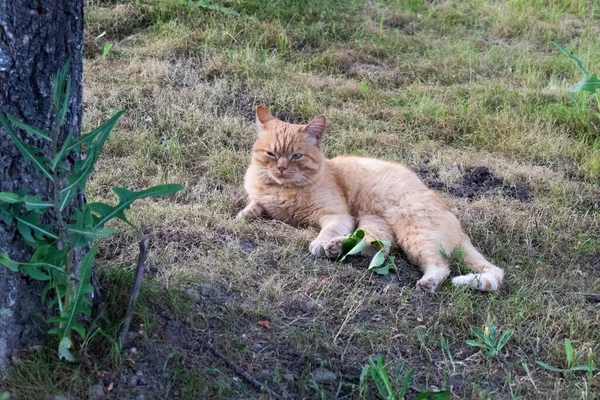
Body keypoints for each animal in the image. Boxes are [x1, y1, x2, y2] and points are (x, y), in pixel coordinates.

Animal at [237, 106, 504, 292]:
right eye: (271, 154)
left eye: (296, 156)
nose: (281, 168)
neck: (282, 190)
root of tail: (458, 227)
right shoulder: (262, 199)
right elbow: (254, 206)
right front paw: (244, 215)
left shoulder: (337, 215)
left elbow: (326, 230)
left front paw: (318, 243)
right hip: (374, 222)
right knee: (379, 245)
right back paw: (337, 248)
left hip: (415, 234)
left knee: (440, 266)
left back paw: (427, 281)